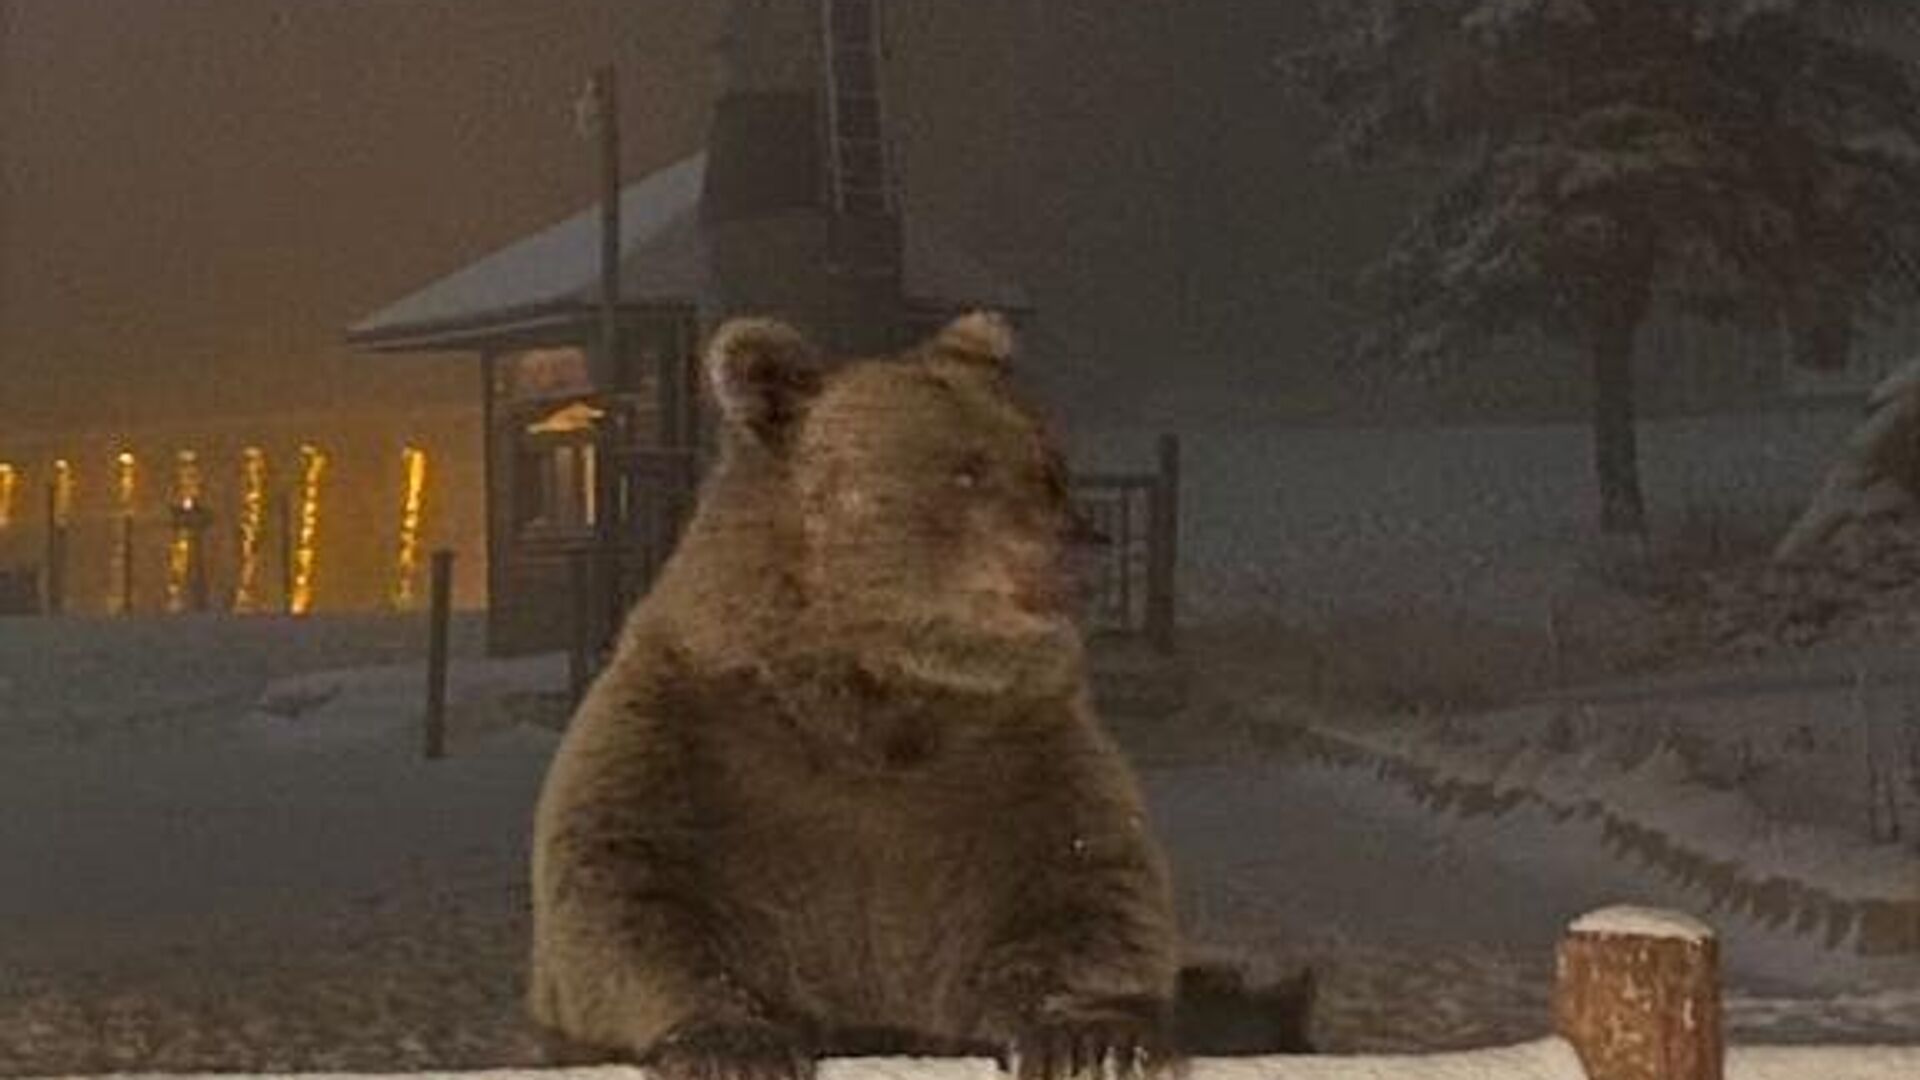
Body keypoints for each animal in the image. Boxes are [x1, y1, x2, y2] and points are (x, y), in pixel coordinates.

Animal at [533, 311, 1175, 1076]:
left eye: (1050, 464)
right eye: (966, 469)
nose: (1086, 543)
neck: (871, 690)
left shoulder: (1023, 751)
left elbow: (1091, 883)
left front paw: (1088, 1034)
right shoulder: (683, 733)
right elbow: (624, 889)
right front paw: (735, 1040)